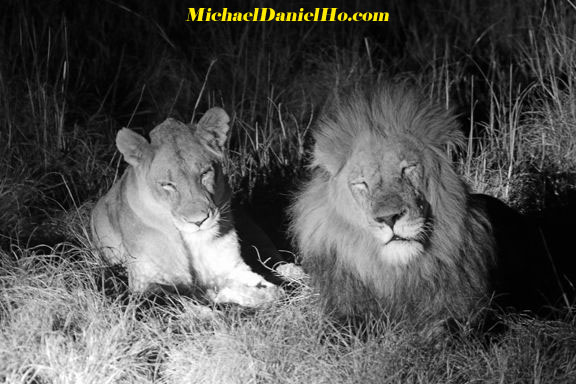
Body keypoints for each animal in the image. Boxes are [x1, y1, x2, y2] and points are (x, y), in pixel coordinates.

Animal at [90, 106, 284, 308]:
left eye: (205, 173)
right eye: (167, 185)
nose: (198, 221)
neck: (193, 242)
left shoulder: (232, 267)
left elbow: (267, 287)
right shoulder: (143, 283)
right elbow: (178, 299)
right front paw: (209, 304)